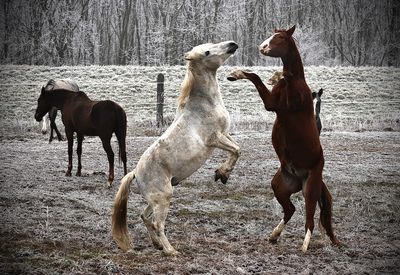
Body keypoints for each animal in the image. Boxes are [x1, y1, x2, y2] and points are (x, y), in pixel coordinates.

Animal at [111, 41, 239, 256]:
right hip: (163, 198)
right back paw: (170, 251)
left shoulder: (225, 134)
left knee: (145, 217)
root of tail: (135, 172)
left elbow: (236, 149)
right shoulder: (215, 139)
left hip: (156, 199)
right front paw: (222, 173)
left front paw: (222, 173)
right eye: (207, 52)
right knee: (157, 223)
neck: (205, 105)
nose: (232, 45)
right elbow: (237, 150)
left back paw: (157, 244)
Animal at [230, 25, 340, 252]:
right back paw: (273, 235)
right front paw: (235, 74)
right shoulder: (271, 104)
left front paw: (277, 74)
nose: (262, 47)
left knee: (309, 218)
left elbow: (281, 75)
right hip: (279, 187)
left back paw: (304, 245)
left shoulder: (286, 104)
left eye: (280, 37)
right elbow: (254, 75)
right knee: (291, 210)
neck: (298, 83)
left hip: (310, 188)